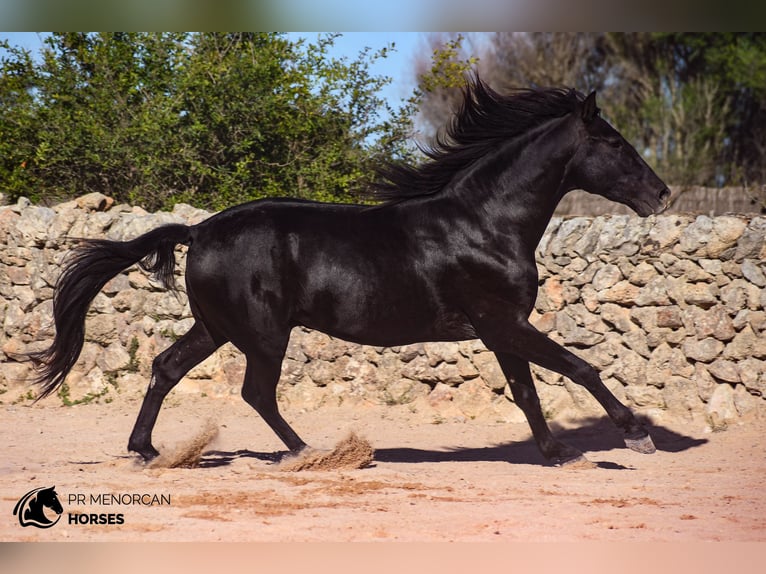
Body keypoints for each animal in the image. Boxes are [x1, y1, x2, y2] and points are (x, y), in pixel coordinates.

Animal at [28, 79, 672, 468]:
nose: (661, 195)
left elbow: (527, 390)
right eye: (614, 142)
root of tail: (199, 231)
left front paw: (556, 452)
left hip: (216, 327)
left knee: (166, 368)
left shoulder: (501, 329)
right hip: (263, 333)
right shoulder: (503, 323)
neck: (485, 224)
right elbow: (580, 368)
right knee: (256, 391)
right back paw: (313, 453)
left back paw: (146, 450)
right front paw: (635, 433)